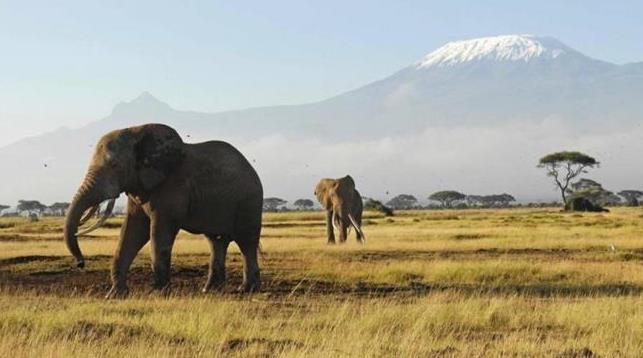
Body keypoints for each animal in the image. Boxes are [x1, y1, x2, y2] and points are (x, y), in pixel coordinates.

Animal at [65, 124, 264, 298]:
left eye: (114, 166)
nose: (80, 263)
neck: (136, 131)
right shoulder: (139, 185)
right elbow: (132, 231)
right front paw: (114, 295)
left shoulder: (173, 186)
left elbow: (159, 233)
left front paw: (158, 294)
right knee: (217, 241)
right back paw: (209, 290)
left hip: (250, 202)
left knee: (246, 242)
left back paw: (247, 290)